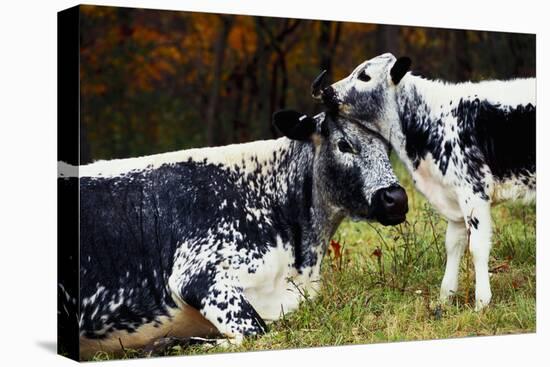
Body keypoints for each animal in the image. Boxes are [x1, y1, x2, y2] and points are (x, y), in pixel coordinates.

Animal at [58, 110, 410, 360]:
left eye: (387, 145)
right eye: (344, 144)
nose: (396, 198)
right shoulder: (201, 273)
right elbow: (255, 334)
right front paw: (166, 346)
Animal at [316, 51, 536, 310]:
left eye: (364, 76)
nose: (328, 91)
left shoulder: (474, 192)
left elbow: (477, 247)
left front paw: (482, 302)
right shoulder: (453, 198)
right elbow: (453, 245)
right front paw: (446, 297)